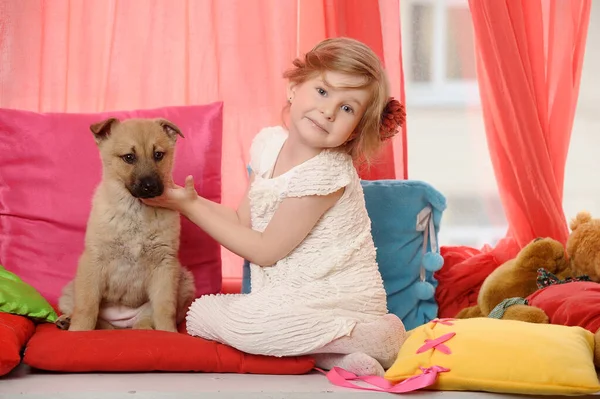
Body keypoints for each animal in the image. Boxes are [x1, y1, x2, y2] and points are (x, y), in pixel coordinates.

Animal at [55, 118, 195, 334]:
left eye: (158, 155)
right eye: (129, 157)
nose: (150, 186)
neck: (136, 210)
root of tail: (121, 324)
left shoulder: (165, 264)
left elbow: (165, 308)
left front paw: (169, 333)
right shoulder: (93, 260)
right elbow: (87, 306)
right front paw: (78, 331)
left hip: (184, 280)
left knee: (146, 319)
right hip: (71, 289)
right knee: (92, 316)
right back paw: (67, 320)